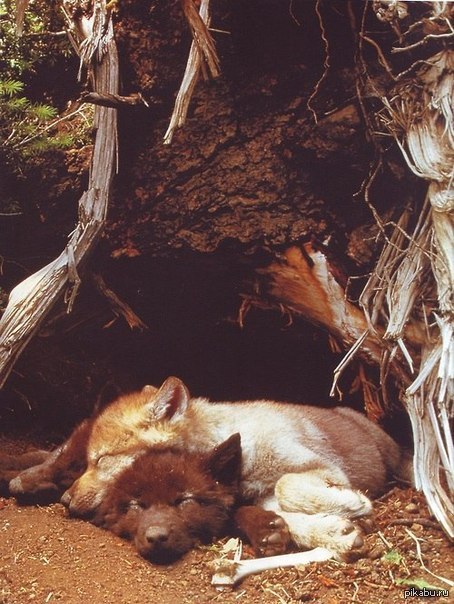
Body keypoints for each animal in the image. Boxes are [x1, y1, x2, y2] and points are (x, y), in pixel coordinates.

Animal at [9, 380, 412, 560]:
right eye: (89, 460)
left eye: (102, 460)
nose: (64, 500)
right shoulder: (261, 498)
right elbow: (286, 514)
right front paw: (334, 532)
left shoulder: (320, 468)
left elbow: (288, 486)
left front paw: (354, 507)